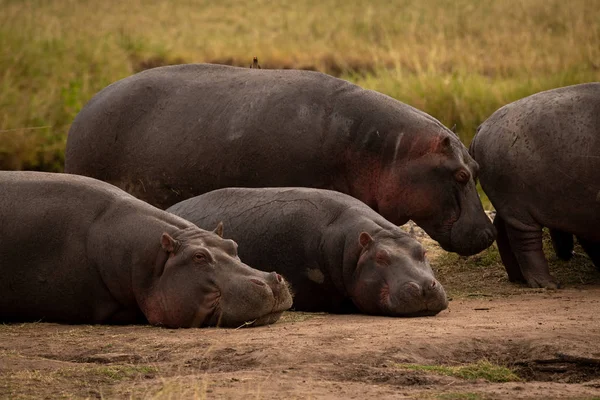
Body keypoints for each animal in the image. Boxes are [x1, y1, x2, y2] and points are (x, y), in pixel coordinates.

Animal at [472, 83, 596, 288]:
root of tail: (481, 127)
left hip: (512, 205)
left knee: (502, 231)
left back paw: (518, 278)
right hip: (520, 210)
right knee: (526, 243)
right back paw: (548, 284)